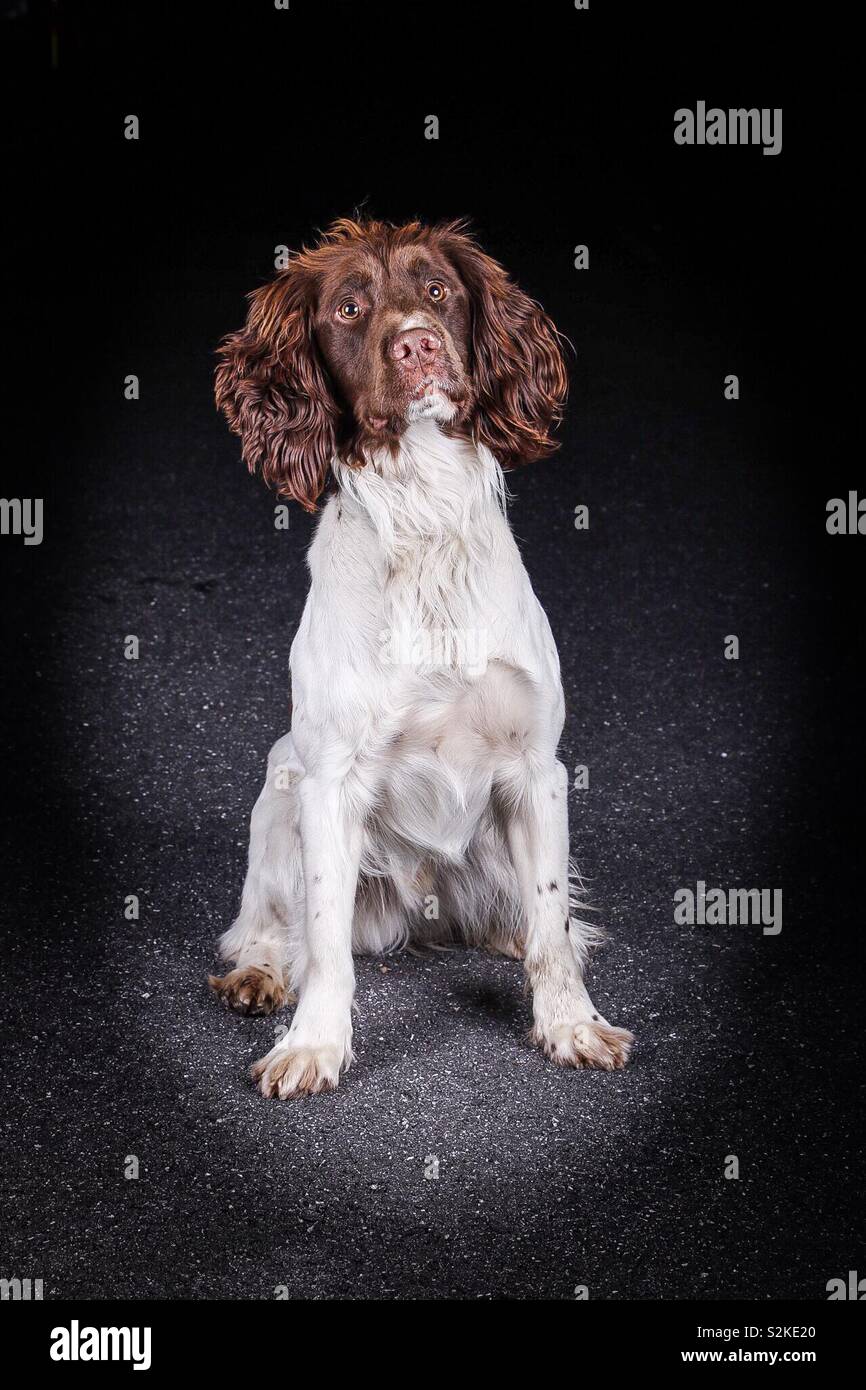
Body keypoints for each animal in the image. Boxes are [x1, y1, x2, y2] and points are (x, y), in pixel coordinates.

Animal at [207, 216, 633, 1095]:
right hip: (280, 778)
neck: (425, 514)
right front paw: (314, 1045)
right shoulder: (327, 778)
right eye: (348, 307)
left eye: (437, 289)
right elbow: (324, 940)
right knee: (268, 923)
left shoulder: (536, 766)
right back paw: (260, 972)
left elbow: (550, 921)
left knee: (534, 917)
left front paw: (572, 1025)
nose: (418, 344)